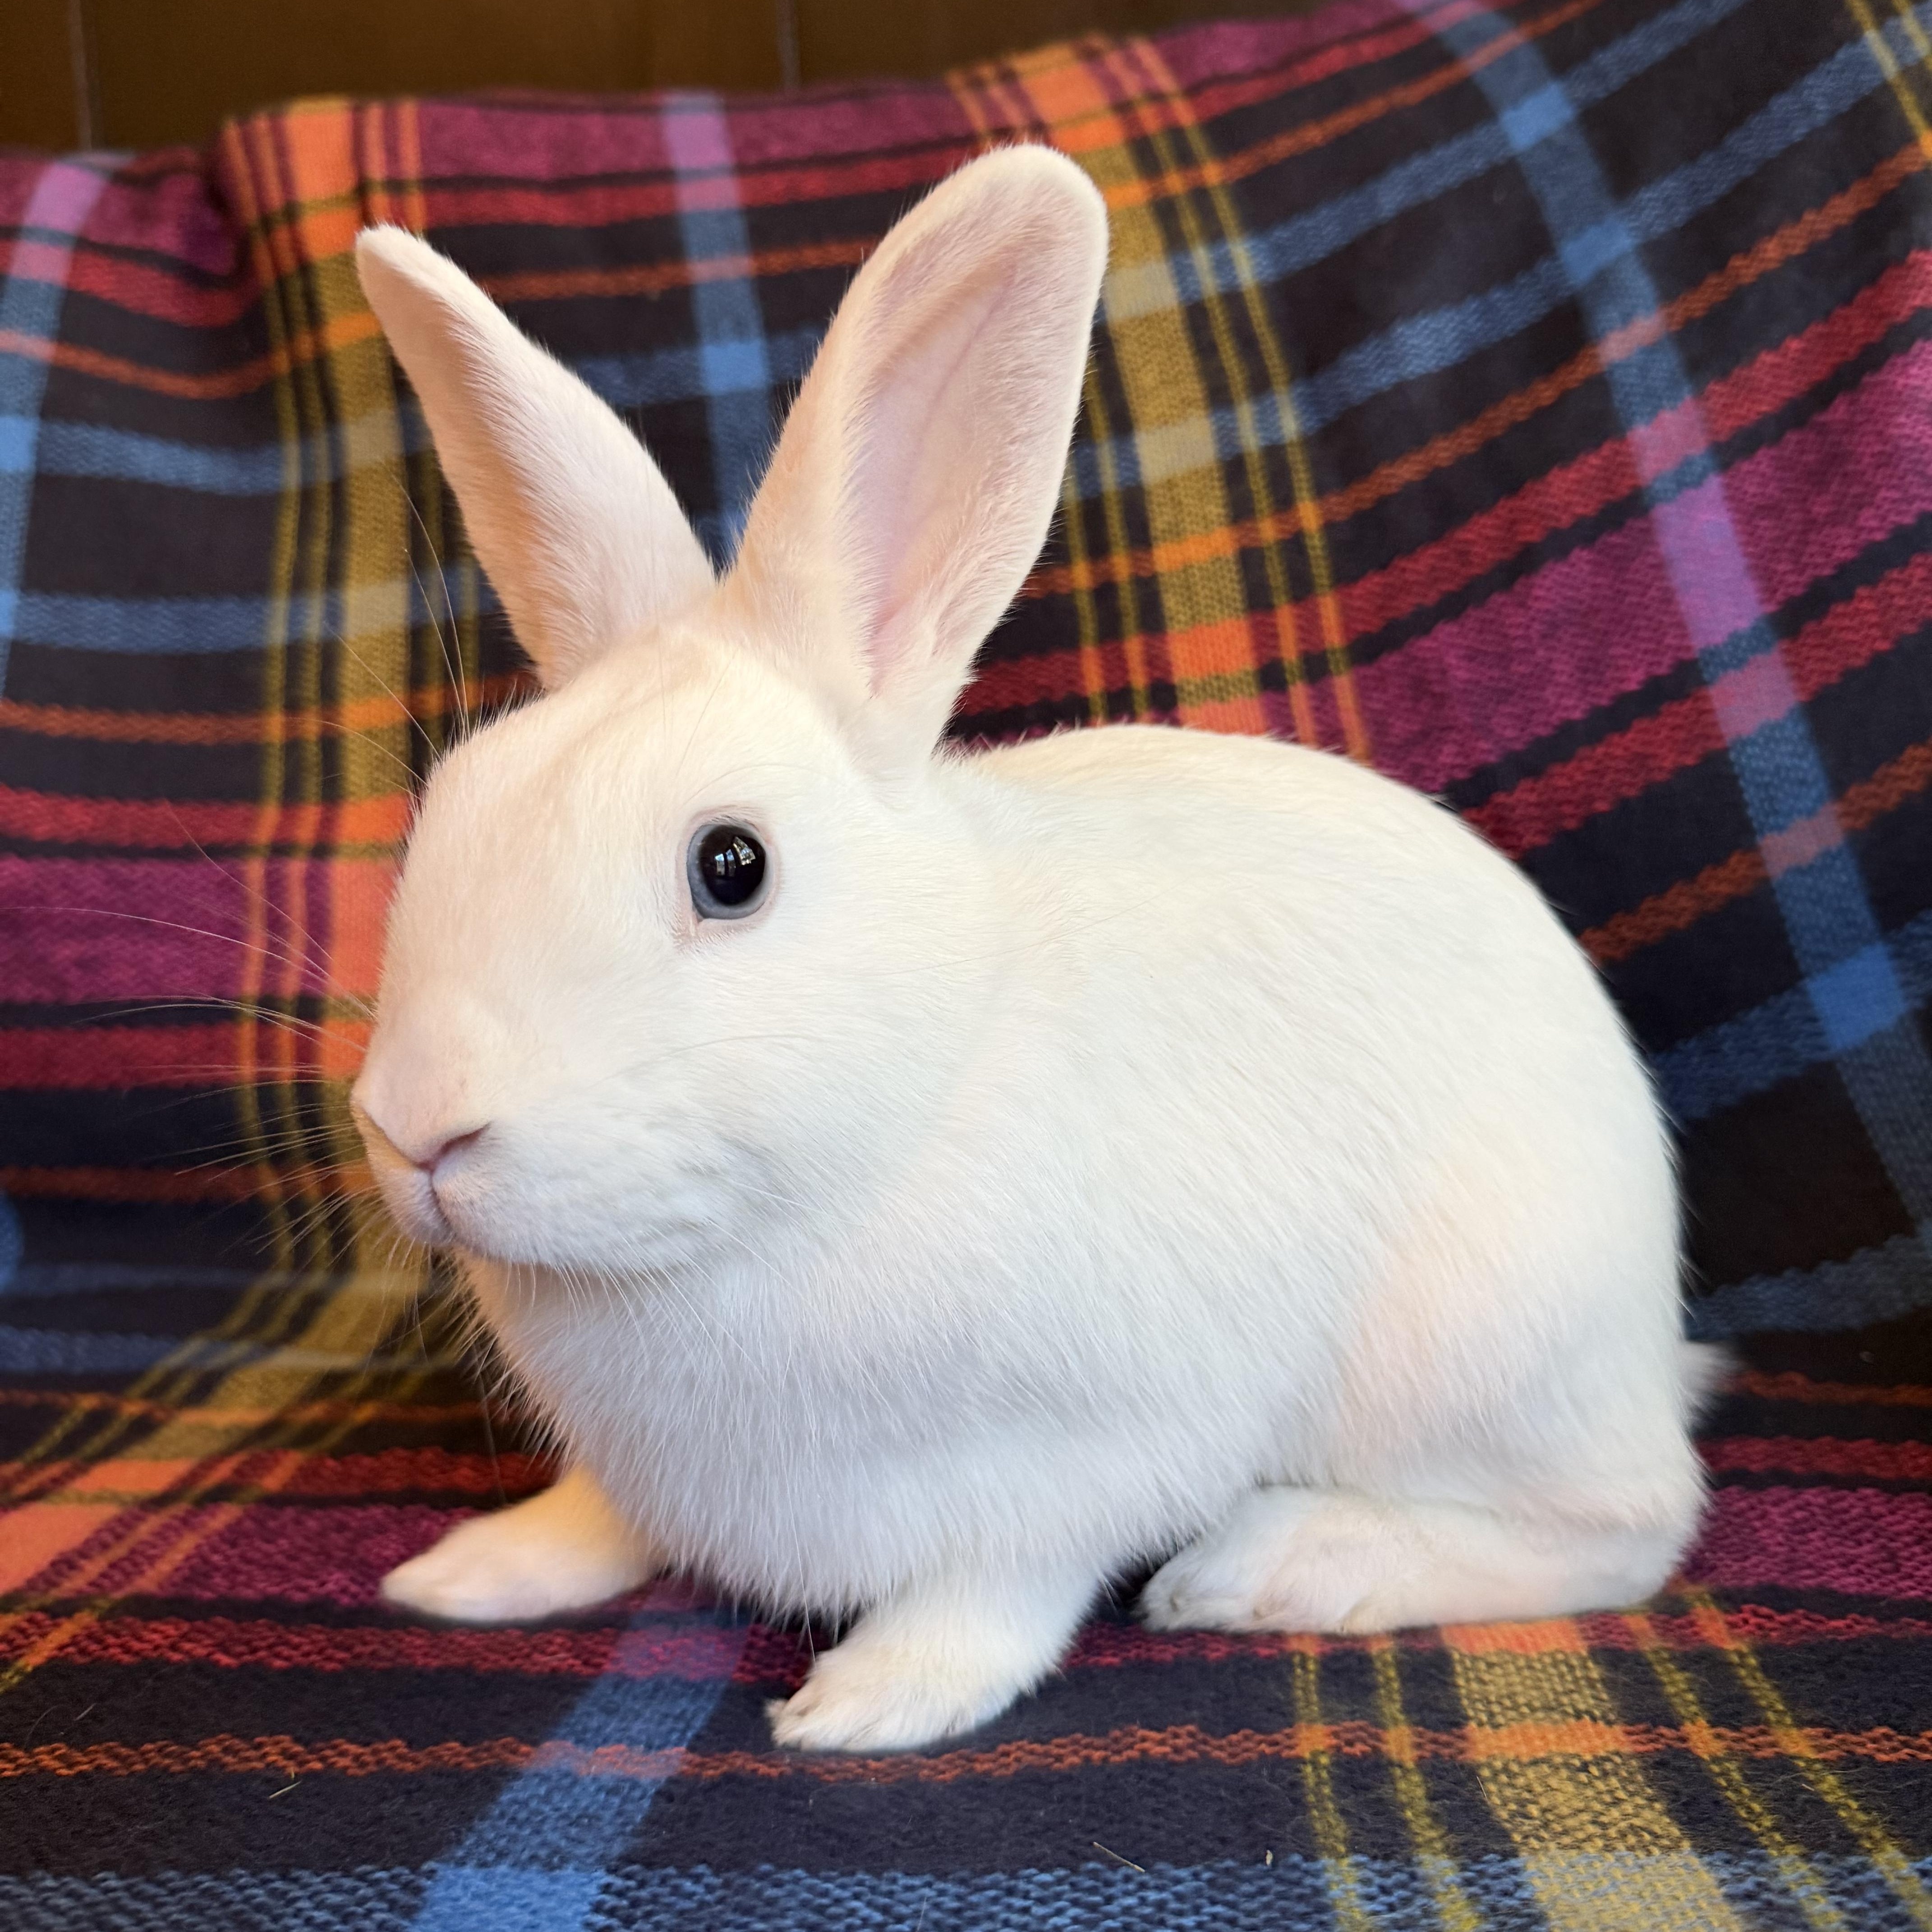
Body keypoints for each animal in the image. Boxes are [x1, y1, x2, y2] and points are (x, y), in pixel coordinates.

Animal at [349, 145, 1716, 1755]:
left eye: (730, 867)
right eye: (456, 800)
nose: (417, 1129)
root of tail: (1648, 1334)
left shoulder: (1076, 1461)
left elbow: (995, 1598)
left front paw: (863, 1707)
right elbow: (600, 1518)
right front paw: (475, 1571)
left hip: (1482, 1347)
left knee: (1624, 1529)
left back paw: (1264, 1568)